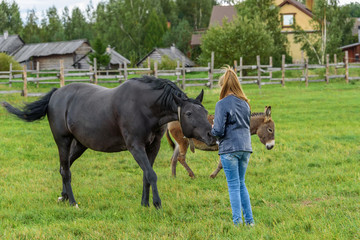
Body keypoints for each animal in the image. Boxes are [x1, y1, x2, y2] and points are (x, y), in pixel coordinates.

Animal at [2, 76, 217, 208]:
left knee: (64, 167)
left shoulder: (152, 147)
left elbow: (146, 175)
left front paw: (145, 204)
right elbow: (151, 174)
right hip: (63, 141)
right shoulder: (135, 147)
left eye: (205, 111)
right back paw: (72, 202)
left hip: (80, 144)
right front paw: (156, 204)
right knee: (66, 170)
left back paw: (63, 196)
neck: (145, 106)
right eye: (188, 113)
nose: (211, 135)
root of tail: (55, 94)